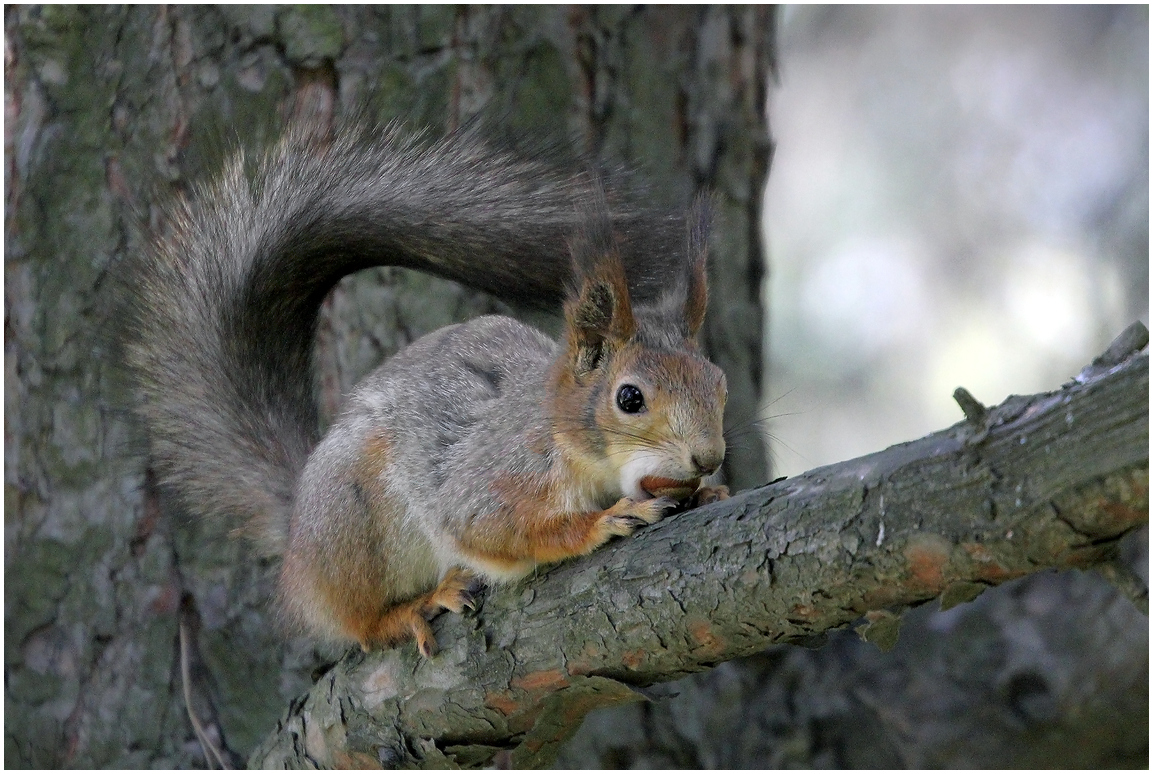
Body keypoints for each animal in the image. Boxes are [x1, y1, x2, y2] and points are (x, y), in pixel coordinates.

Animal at [121, 124, 724, 655]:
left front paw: (706, 493)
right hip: (354, 527)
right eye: (629, 398)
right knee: (358, 623)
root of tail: (295, 535)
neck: (561, 434)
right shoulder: (496, 477)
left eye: (719, 384)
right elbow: (495, 527)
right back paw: (412, 607)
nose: (709, 458)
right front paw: (601, 521)